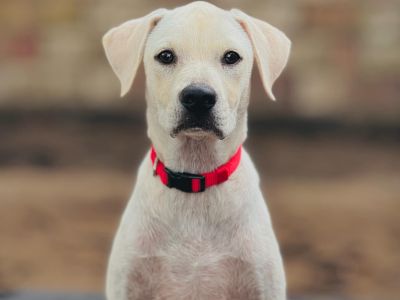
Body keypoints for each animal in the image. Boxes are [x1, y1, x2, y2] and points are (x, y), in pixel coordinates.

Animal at [102, 1, 290, 298]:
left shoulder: (263, 283)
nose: (199, 97)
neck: (195, 176)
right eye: (166, 56)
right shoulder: (127, 282)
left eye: (231, 57)